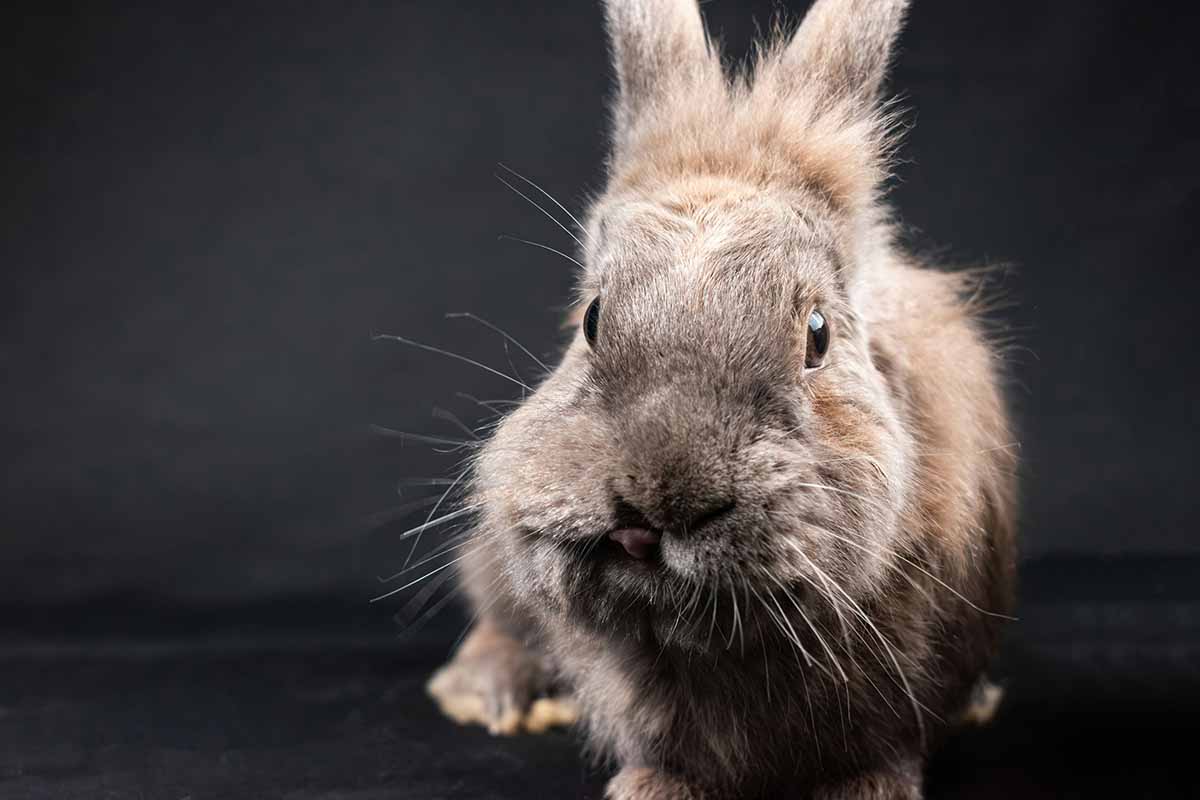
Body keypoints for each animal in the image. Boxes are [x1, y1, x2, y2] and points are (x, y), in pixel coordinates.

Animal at [427, 1, 1017, 800]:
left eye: (817, 333)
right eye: (592, 319)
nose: (649, 511)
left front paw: (866, 790)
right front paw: (649, 789)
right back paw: (491, 694)